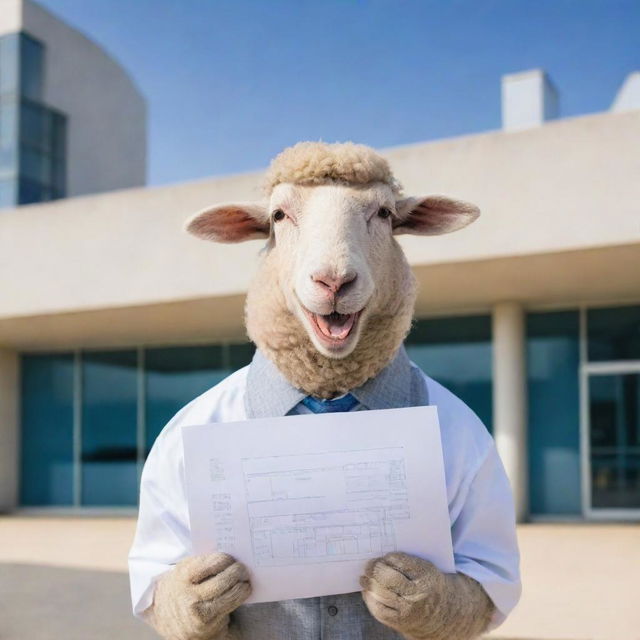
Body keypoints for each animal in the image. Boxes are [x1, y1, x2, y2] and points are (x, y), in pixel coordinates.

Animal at [132, 141, 524, 640]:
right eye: (278, 215)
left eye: (384, 213)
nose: (334, 281)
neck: (329, 389)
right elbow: (158, 580)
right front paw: (198, 593)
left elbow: (485, 575)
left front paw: (414, 591)